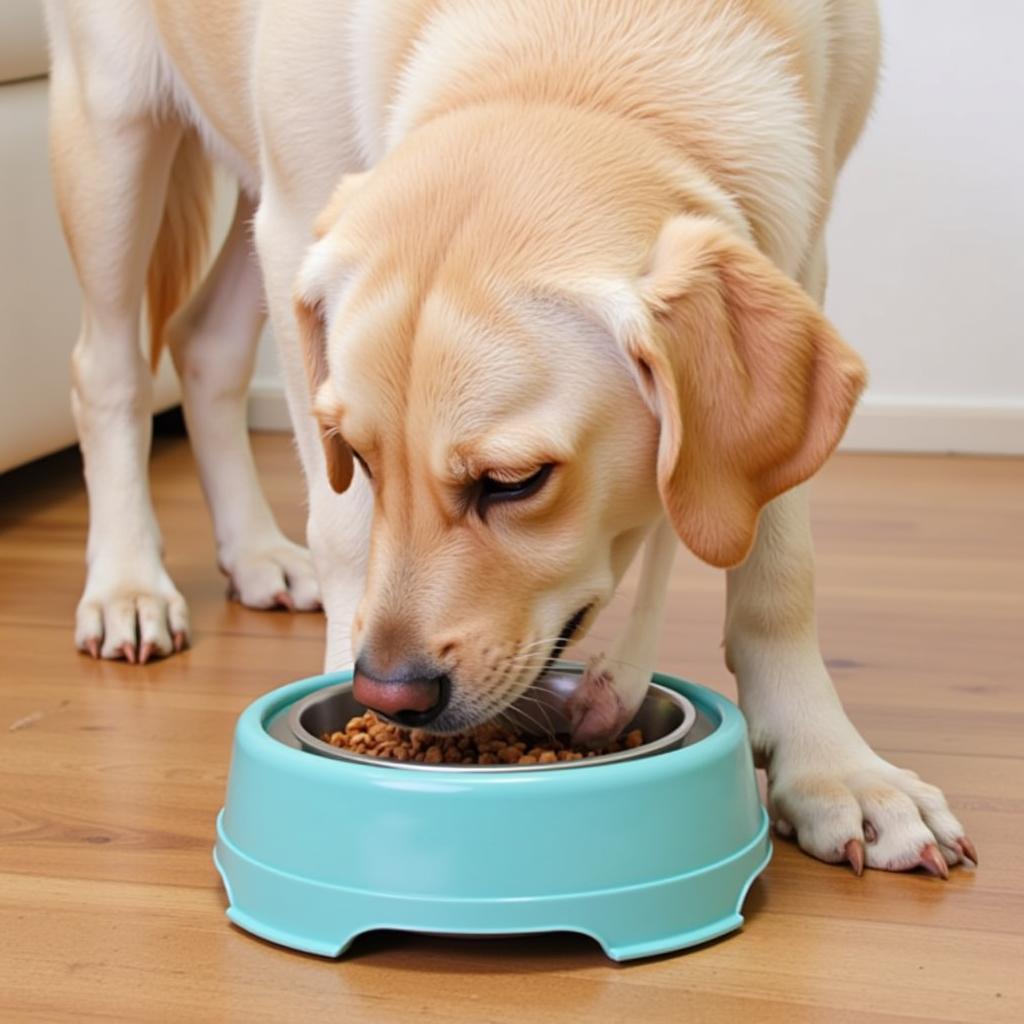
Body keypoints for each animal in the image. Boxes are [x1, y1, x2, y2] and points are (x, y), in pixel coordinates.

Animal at [48, 0, 974, 880]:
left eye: (514, 481)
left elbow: (778, 568)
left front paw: (835, 769)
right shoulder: (296, 221)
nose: (388, 694)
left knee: (203, 346)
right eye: (361, 457)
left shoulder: (802, 247)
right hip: (115, 129)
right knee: (107, 368)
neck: (581, 59)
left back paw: (255, 555)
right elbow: (342, 526)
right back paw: (129, 585)